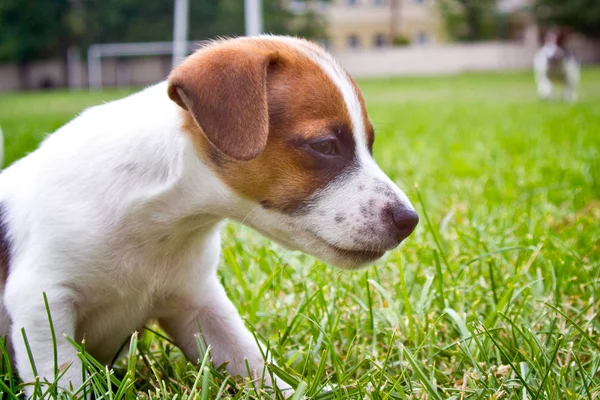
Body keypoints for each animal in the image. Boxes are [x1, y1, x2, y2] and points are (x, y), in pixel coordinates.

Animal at [0, 36, 418, 396]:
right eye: (326, 146)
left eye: (369, 144)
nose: (409, 221)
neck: (159, 223)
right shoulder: (42, 303)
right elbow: (62, 378)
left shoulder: (198, 305)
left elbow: (253, 361)